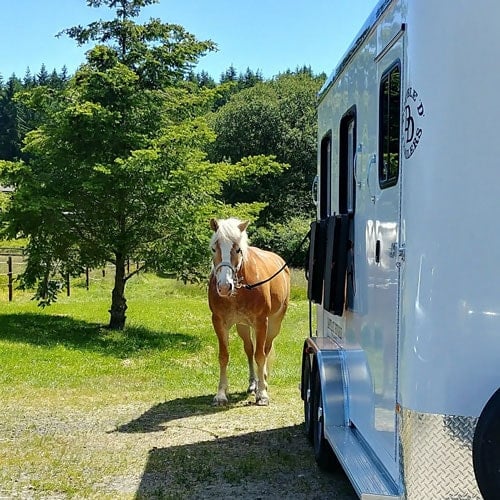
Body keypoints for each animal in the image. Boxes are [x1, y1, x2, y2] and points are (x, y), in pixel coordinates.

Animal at [207, 219, 292, 406]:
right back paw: (253, 383)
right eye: (214, 249)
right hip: (243, 326)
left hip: (274, 323)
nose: (224, 286)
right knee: (249, 349)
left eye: (238, 249)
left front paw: (262, 394)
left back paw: (263, 381)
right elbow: (224, 356)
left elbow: (260, 356)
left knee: (265, 349)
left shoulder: (261, 322)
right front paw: (221, 394)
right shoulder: (219, 322)